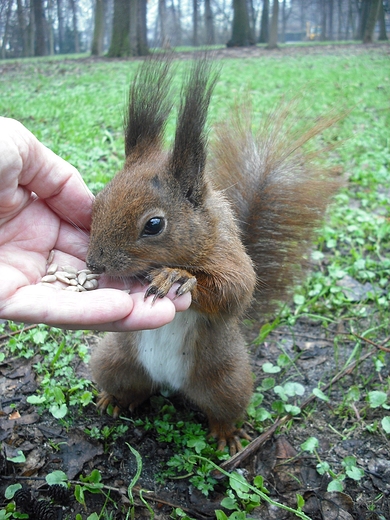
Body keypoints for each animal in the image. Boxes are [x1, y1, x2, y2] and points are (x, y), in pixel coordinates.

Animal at [86, 58, 342, 456]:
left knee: (223, 410)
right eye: (98, 199)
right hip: (113, 360)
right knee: (130, 387)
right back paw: (113, 399)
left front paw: (177, 277)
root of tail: (169, 384)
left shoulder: (229, 254)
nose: (95, 263)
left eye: (154, 224)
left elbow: (234, 290)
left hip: (227, 381)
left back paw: (227, 435)